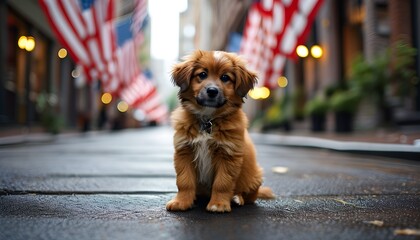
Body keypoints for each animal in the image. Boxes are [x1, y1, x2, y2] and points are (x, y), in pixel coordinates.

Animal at [167, 50, 276, 212]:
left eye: (225, 77)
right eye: (202, 74)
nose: (212, 91)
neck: (208, 120)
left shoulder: (228, 154)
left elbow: (222, 183)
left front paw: (218, 204)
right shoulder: (184, 151)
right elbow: (184, 181)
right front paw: (181, 202)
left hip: (254, 177)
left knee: (250, 197)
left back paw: (237, 198)